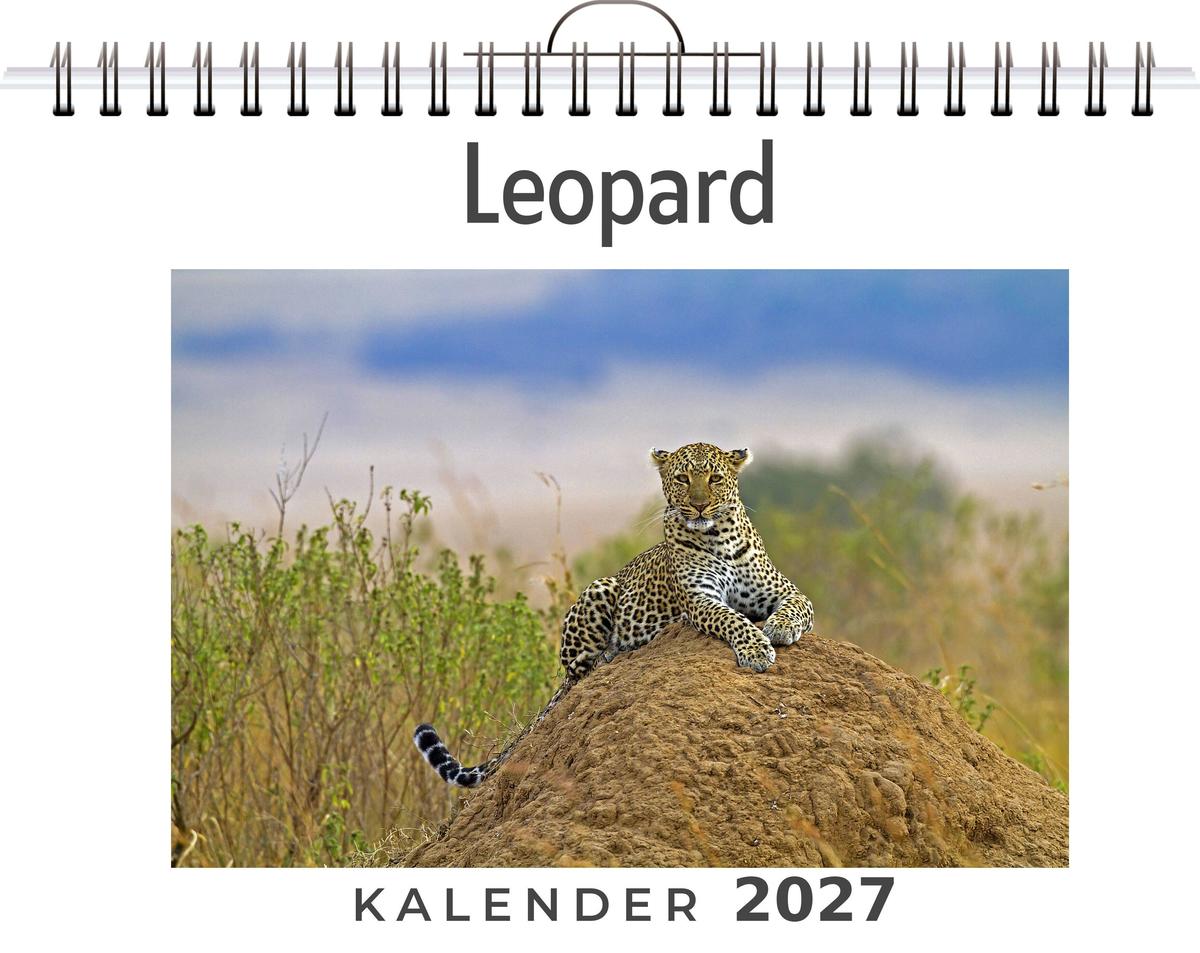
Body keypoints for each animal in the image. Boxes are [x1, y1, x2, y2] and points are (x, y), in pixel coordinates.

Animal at [414, 442, 815, 787]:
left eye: (715, 478)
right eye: (683, 479)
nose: (700, 507)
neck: (719, 538)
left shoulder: (783, 589)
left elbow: (798, 606)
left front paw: (779, 628)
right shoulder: (700, 601)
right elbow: (733, 619)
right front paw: (756, 650)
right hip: (600, 588)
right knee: (580, 668)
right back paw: (610, 656)